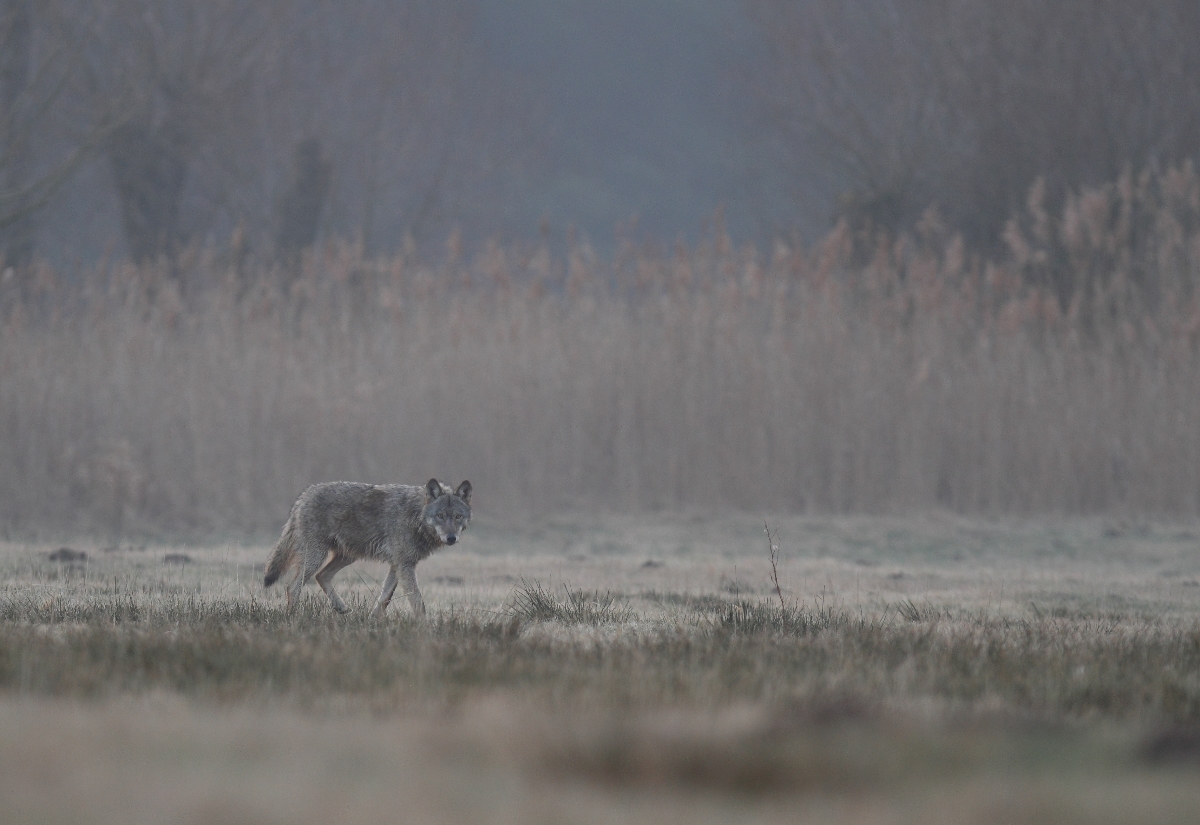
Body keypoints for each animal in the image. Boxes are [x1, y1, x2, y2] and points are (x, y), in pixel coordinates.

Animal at [265, 477, 470, 618]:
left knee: (321, 576)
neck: (415, 515)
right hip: (317, 556)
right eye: (440, 516)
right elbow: (417, 600)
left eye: (458, 516)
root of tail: (305, 494)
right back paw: (293, 617)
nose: (451, 538)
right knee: (293, 587)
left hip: (347, 556)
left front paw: (373, 620)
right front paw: (424, 626)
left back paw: (341, 607)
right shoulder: (404, 565)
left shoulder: (398, 564)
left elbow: (385, 597)